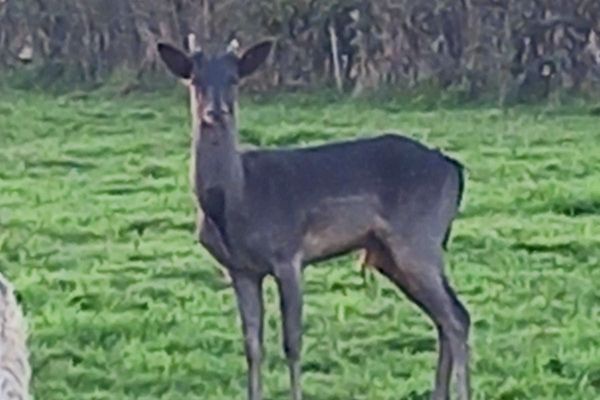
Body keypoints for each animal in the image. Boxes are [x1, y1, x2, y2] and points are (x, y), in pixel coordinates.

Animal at [157, 37, 472, 400]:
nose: (216, 112)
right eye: (194, 80)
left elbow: (292, 343)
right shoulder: (240, 269)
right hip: (392, 254)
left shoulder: (288, 254)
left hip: (419, 237)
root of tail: (454, 169)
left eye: (234, 79)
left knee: (457, 317)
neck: (237, 201)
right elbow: (252, 346)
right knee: (445, 318)